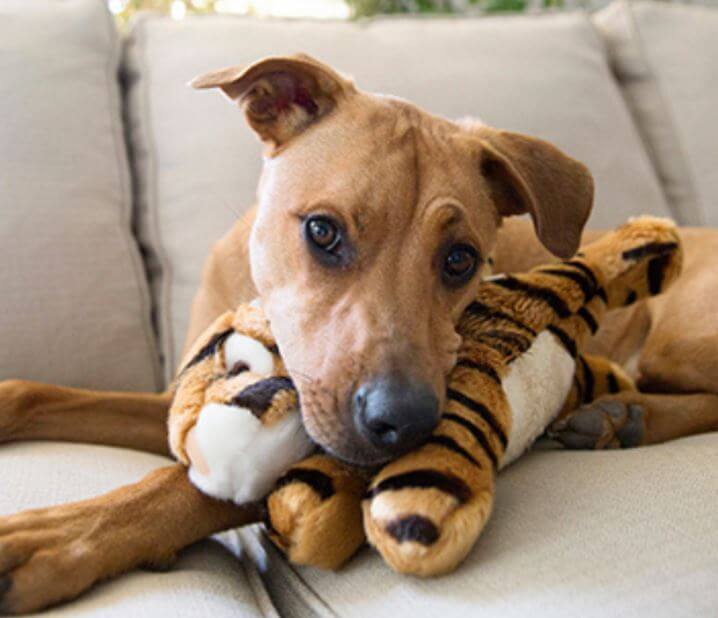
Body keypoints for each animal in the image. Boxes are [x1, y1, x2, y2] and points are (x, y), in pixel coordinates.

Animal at [0, 54, 716, 612]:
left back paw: (625, 416)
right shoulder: (177, 399)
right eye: (322, 230)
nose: (405, 424)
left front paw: (58, 537)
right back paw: (616, 414)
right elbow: (40, 394)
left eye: (461, 259)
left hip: (676, 343)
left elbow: (188, 489)